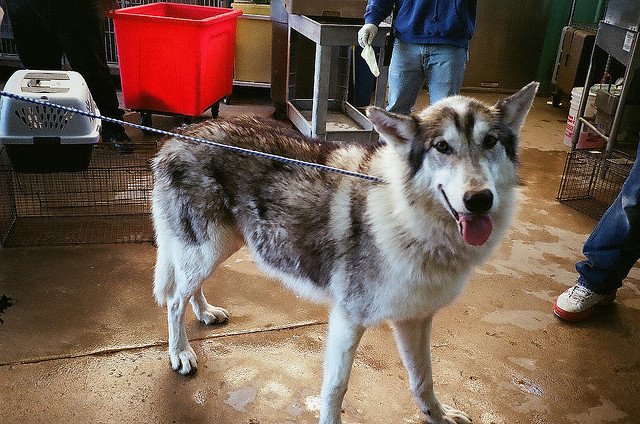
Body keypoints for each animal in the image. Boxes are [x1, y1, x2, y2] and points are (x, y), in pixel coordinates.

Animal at [152, 81, 536, 422]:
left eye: (490, 142)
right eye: (442, 146)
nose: (479, 199)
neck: (411, 219)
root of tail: (179, 134)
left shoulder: (414, 320)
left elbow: (423, 380)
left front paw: (438, 416)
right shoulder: (348, 320)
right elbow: (336, 389)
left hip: (215, 248)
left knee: (189, 289)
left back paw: (204, 313)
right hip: (207, 250)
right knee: (174, 300)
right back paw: (180, 352)